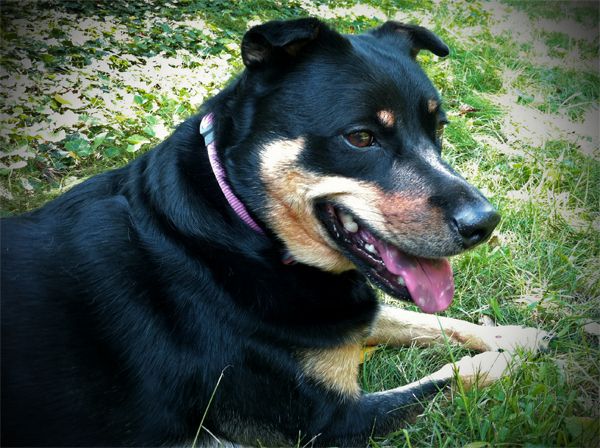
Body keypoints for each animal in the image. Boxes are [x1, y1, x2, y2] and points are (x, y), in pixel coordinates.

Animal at [2, 18, 552, 448]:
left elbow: (431, 321)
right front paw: (510, 362)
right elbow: (449, 377)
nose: (485, 222)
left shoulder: (338, 320)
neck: (242, 231)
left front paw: (517, 335)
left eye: (437, 129)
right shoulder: (328, 421)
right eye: (361, 138)